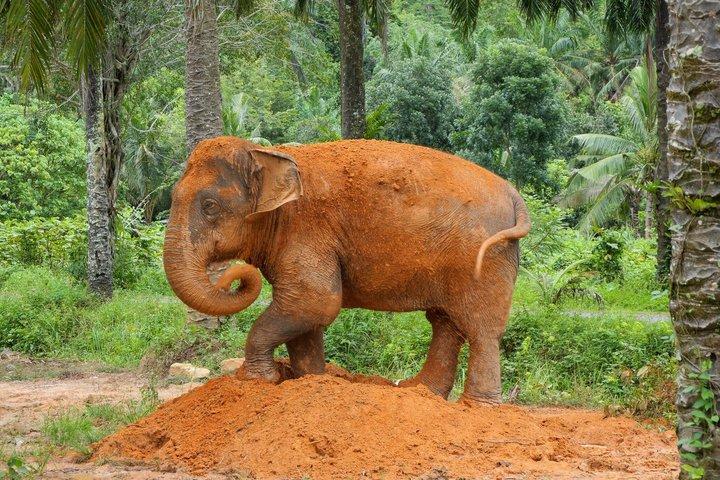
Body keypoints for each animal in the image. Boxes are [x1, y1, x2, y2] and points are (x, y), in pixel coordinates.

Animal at [163, 136, 530, 403]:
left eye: (209, 206)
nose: (233, 277)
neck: (271, 153)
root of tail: (514, 194)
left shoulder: (306, 231)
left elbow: (317, 302)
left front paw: (259, 380)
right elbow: (305, 312)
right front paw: (311, 379)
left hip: (485, 258)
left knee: (481, 329)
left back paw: (477, 405)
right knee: (445, 323)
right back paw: (420, 391)